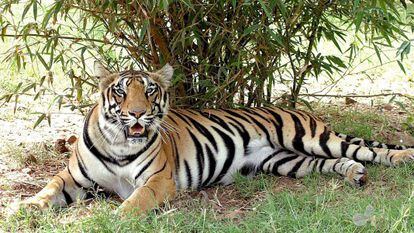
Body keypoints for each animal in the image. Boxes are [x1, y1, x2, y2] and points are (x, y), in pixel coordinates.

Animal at [18, 62, 414, 215]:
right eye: (120, 92)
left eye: (149, 91)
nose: (137, 113)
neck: (119, 144)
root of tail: (303, 111)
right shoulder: (73, 177)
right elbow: (49, 188)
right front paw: (25, 207)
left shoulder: (158, 179)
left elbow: (137, 199)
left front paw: (120, 216)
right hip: (287, 161)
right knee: (333, 162)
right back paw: (353, 174)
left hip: (308, 137)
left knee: (362, 149)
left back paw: (402, 158)